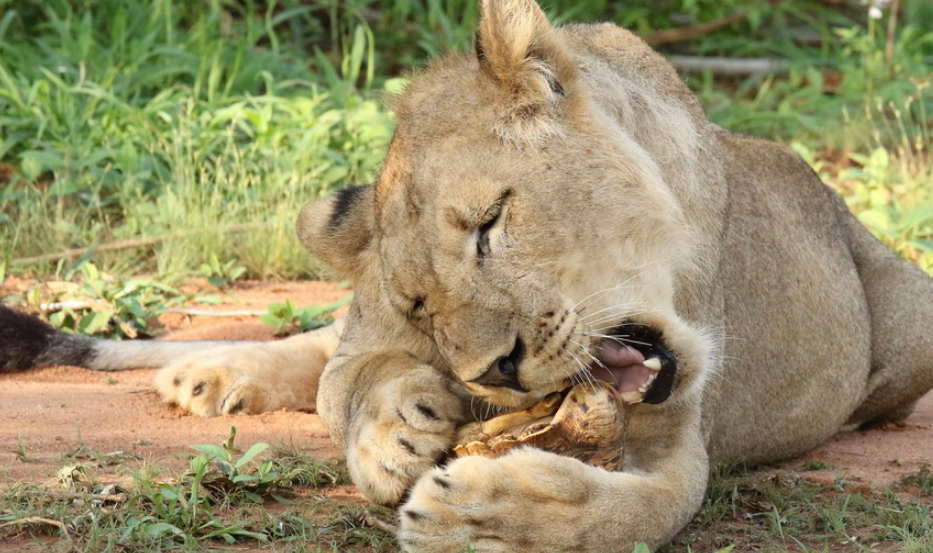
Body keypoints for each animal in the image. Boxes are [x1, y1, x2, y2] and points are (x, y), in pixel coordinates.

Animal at [2, 1, 933, 550]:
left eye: (489, 224)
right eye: (422, 307)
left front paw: (483, 517)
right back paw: (207, 372)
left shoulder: (676, 439)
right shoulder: (375, 329)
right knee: (319, 338)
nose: (498, 369)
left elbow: (635, 509)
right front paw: (395, 429)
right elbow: (351, 379)